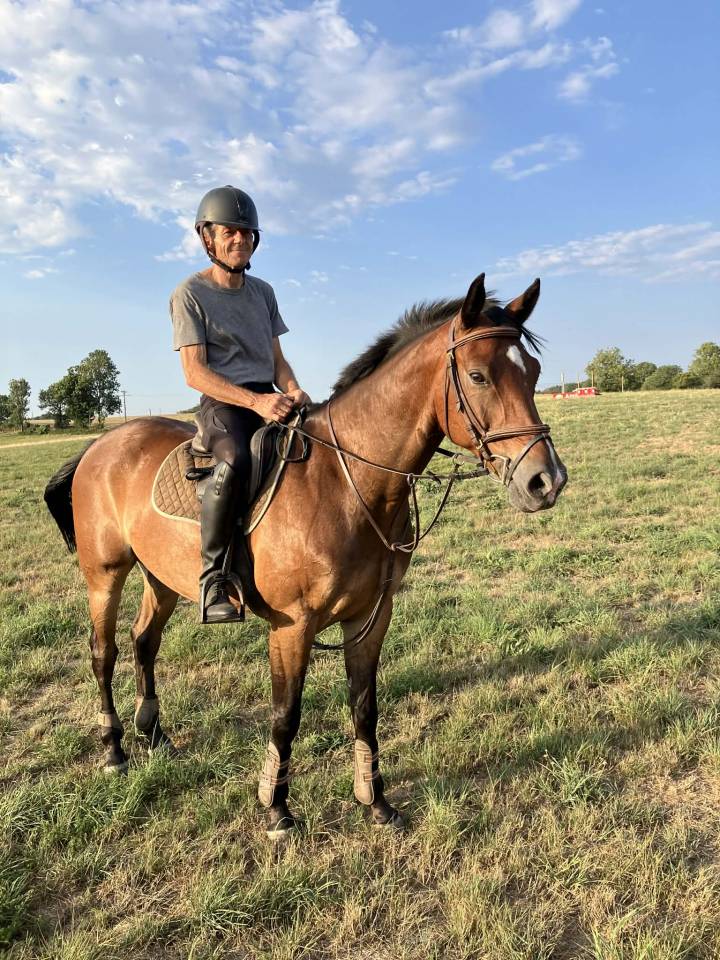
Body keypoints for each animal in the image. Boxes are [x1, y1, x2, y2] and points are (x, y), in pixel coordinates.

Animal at [44, 273, 567, 837]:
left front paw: (375, 801)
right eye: (477, 375)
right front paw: (276, 807)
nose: (545, 481)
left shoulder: (370, 617)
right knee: (104, 651)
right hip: (105, 574)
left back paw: (154, 736)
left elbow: (364, 706)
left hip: (160, 576)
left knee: (144, 641)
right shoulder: (292, 625)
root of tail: (101, 444)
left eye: (533, 372)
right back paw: (115, 750)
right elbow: (286, 714)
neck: (345, 481)